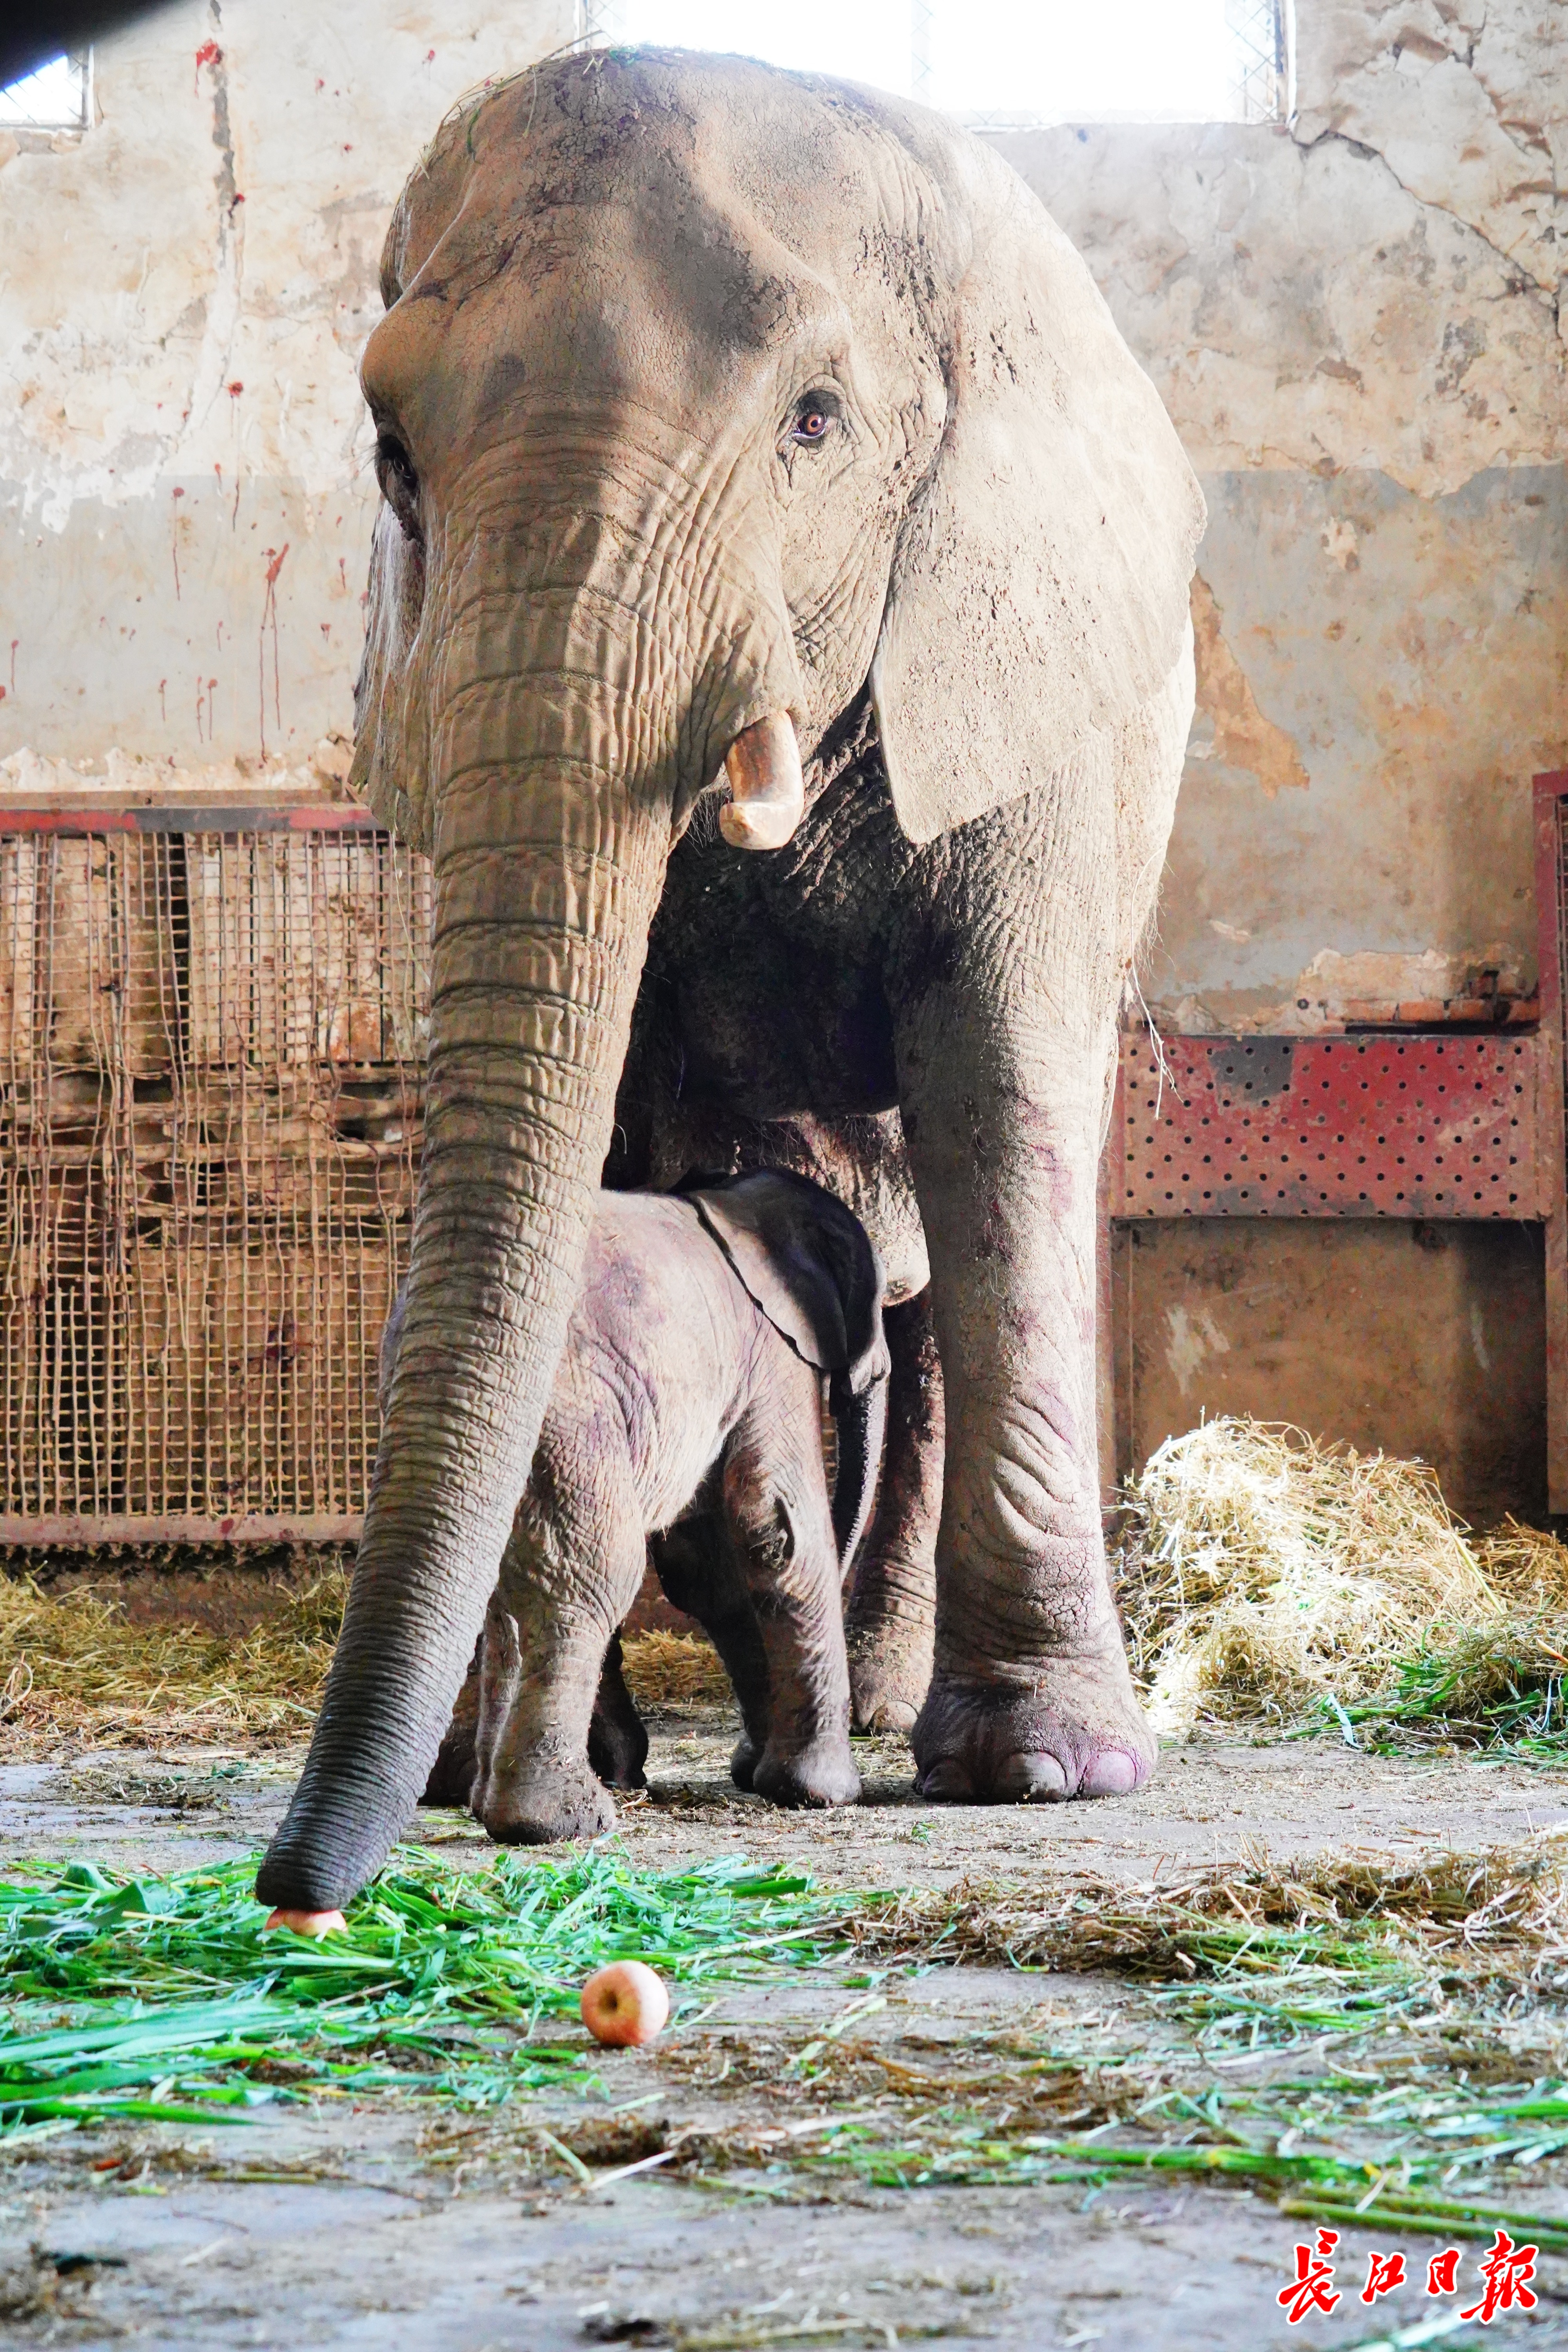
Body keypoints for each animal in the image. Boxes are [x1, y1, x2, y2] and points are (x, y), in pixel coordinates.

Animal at [381, 1167, 888, 1844]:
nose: (871, 1373)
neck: (737, 1197)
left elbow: (707, 1566)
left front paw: (757, 1773)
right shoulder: (769, 1358)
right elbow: (777, 1528)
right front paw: (822, 1793)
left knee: (502, 1593)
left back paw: (483, 1802)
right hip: (572, 1413)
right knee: (588, 1574)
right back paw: (560, 1821)